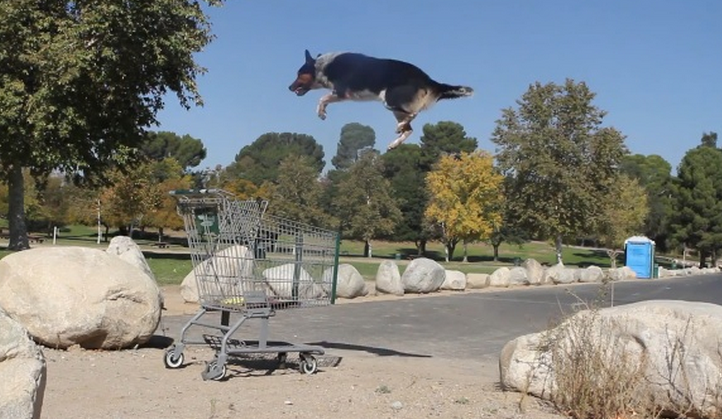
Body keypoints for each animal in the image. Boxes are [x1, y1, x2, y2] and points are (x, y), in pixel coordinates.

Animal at [286, 50, 472, 151]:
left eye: (299, 74)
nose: (289, 87)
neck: (323, 66)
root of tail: (429, 80)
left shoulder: (341, 92)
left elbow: (322, 98)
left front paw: (321, 113)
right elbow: (323, 99)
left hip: (389, 100)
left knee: (412, 114)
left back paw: (399, 128)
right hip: (394, 107)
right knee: (409, 128)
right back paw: (394, 143)